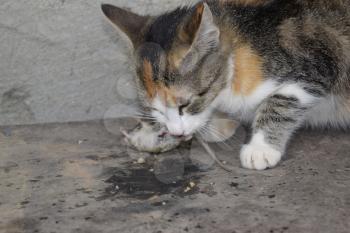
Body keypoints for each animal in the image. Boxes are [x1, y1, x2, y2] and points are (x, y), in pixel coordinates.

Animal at [101, 0, 350, 171]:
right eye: (153, 109)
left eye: (185, 104)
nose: (177, 133)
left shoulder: (317, 59)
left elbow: (282, 100)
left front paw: (260, 148)